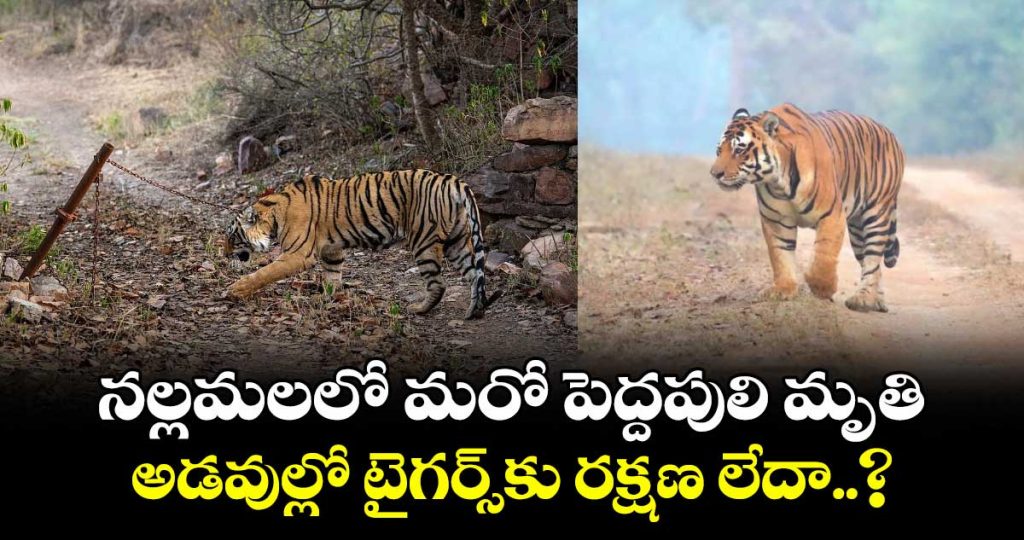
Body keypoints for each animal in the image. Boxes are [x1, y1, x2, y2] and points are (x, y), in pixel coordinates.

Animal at [223, 169, 502, 319]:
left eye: (231, 236)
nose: (224, 254)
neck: (273, 214)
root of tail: (452, 180)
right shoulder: (331, 250)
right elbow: (332, 277)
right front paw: (328, 299)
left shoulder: (298, 254)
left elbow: (265, 273)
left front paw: (236, 289)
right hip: (457, 240)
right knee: (474, 275)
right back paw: (474, 312)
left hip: (424, 240)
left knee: (438, 283)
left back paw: (419, 309)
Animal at [710, 103, 905, 312]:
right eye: (719, 150)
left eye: (739, 150)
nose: (714, 174)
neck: (779, 182)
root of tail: (888, 132)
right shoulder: (776, 221)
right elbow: (780, 256)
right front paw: (783, 289)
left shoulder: (832, 215)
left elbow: (823, 256)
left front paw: (823, 289)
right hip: (857, 228)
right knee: (874, 266)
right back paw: (877, 300)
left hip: (876, 213)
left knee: (872, 258)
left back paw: (863, 299)